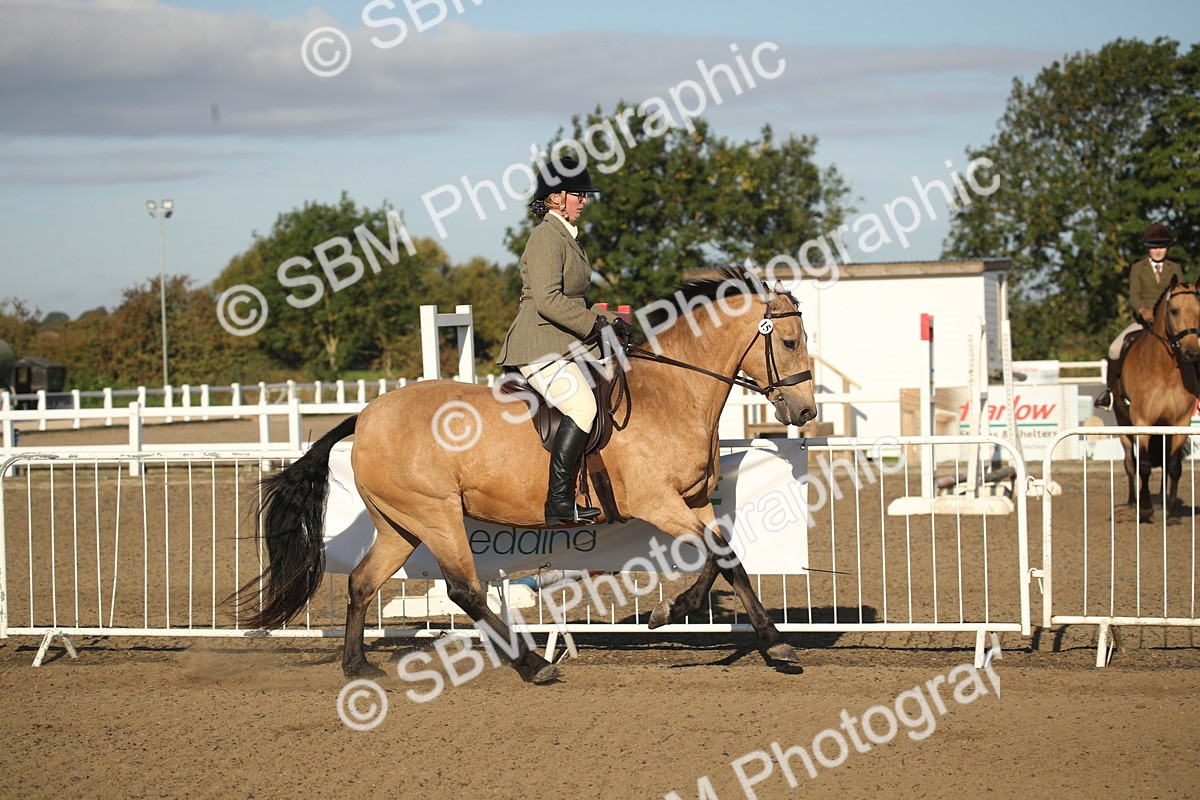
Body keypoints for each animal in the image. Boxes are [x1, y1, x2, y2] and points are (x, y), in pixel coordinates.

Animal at [238, 268, 818, 683]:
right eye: (789, 343)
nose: (806, 410)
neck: (670, 393)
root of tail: (367, 414)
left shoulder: (693, 501)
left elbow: (728, 559)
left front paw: (769, 642)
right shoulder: (657, 503)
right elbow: (721, 557)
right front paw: (679, 613)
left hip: (400, 522)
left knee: (362, 582)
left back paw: (357, 666)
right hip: (436, 514)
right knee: (464, 591)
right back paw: (533, 666)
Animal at [1112, 275, 1200, 522]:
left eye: (1199, 311)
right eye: (1174, 311)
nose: (1192, 352)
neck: (1165, 370)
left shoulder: (1180, 422)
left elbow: (1173, 466)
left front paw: (1170, 512)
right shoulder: (1141, 421)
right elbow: (1143, 465)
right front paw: (1146, 509)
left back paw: (1161, 501)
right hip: (1122, 422)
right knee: (1130, 462)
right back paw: (1134, 502)